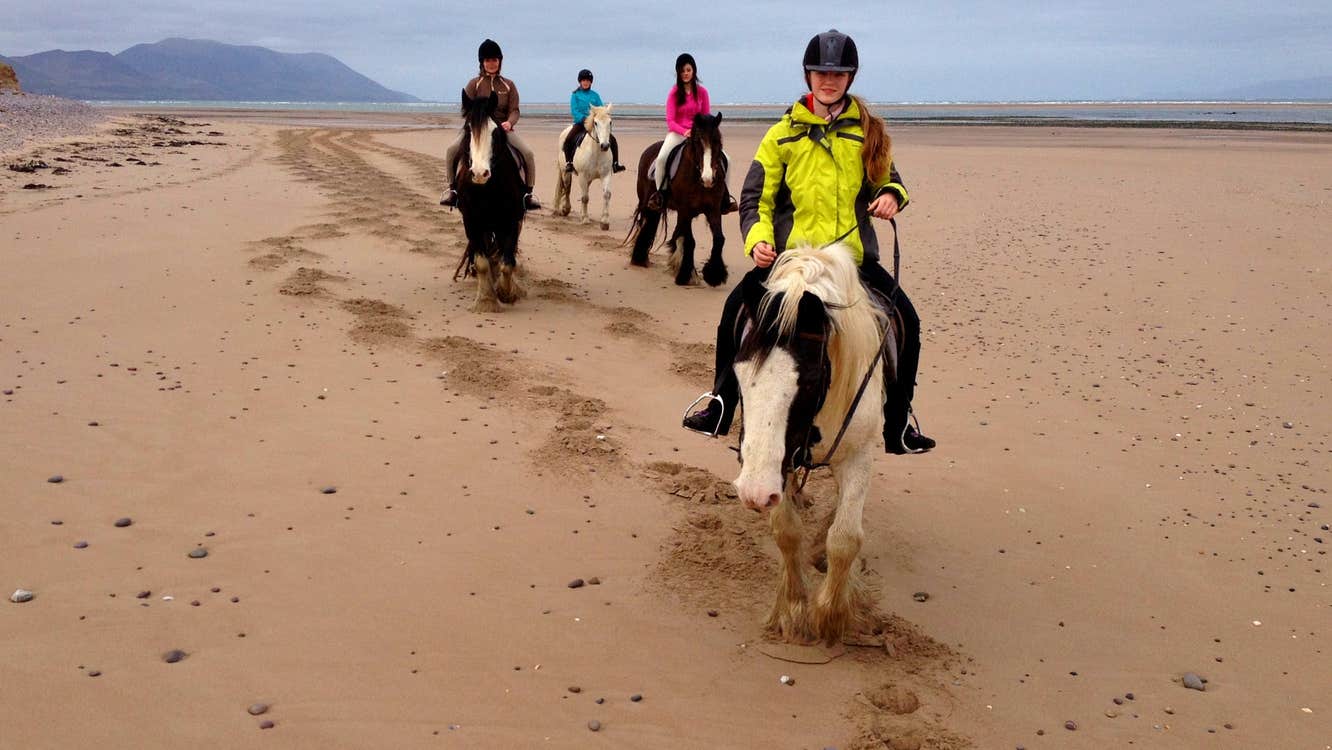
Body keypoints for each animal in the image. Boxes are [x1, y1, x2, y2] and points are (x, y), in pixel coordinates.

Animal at [452, 89, 524, 313]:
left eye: (495, 132)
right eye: (468, 130)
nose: (479, 174)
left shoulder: (511, 220)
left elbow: (507, 262)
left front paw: (506, 293)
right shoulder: (471, 221)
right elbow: (482, 262)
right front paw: (485, 300)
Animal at [623, 113, 729, 286]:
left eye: (718, 142)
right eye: (697, 142)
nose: (708, 179)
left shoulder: (713, 209)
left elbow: (719, 239)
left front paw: (714, 275)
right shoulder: (685, 210)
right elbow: (690, 241)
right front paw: (685, 276)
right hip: (649, 204)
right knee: (649, 225)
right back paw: (640, 259)